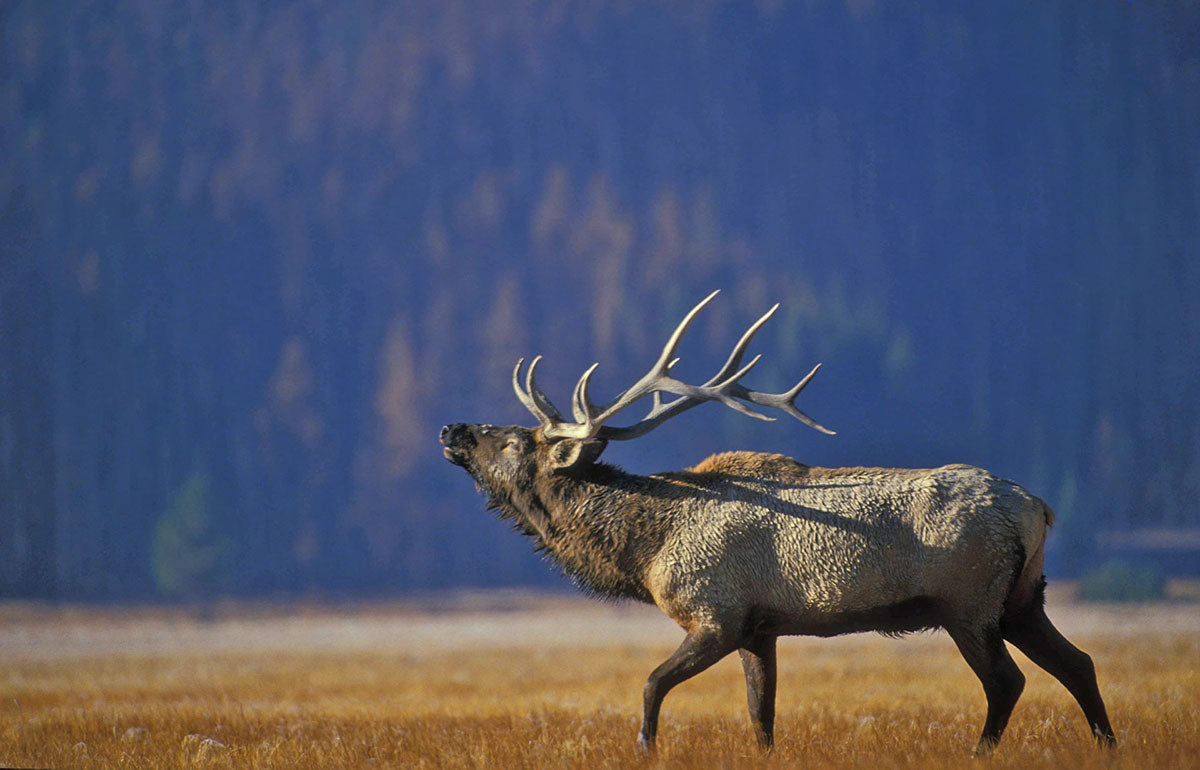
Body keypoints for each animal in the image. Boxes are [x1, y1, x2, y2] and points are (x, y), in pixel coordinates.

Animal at [439, 290, 1113, 753]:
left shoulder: (716, 613)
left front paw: (646, 749)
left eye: (512, 440)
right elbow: (760, 716)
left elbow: (652, 685)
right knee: (1078, 663)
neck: (646, 550)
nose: (451, 428)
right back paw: (1106, 745)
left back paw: (980, 752)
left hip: (968, 603)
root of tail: (1037, 508)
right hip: (1022, 599)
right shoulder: (759, 630)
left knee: (1007, 682)